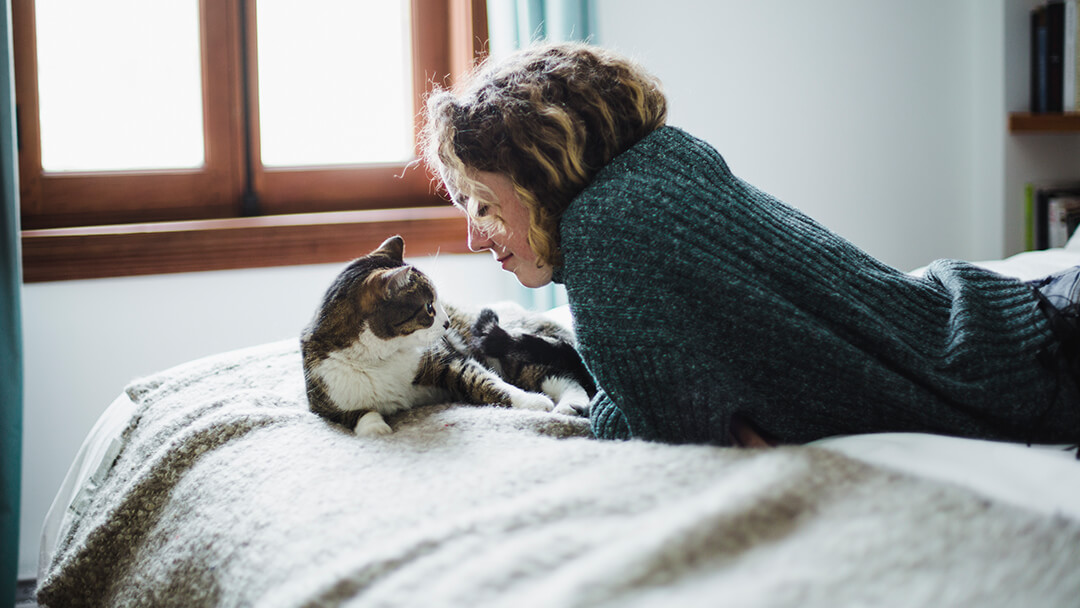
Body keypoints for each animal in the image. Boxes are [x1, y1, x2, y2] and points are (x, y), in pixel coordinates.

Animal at [300, 234, 596, 438]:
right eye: (429, 307)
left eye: (438, 303)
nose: (447, 322)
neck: (380, 357)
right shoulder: (324, 399)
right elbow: (357, 414)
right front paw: (375, 429)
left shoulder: (445, 360)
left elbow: (485, 381)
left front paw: (531, 401)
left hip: (506, 349)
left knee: (559, 376)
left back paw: (569, 405)